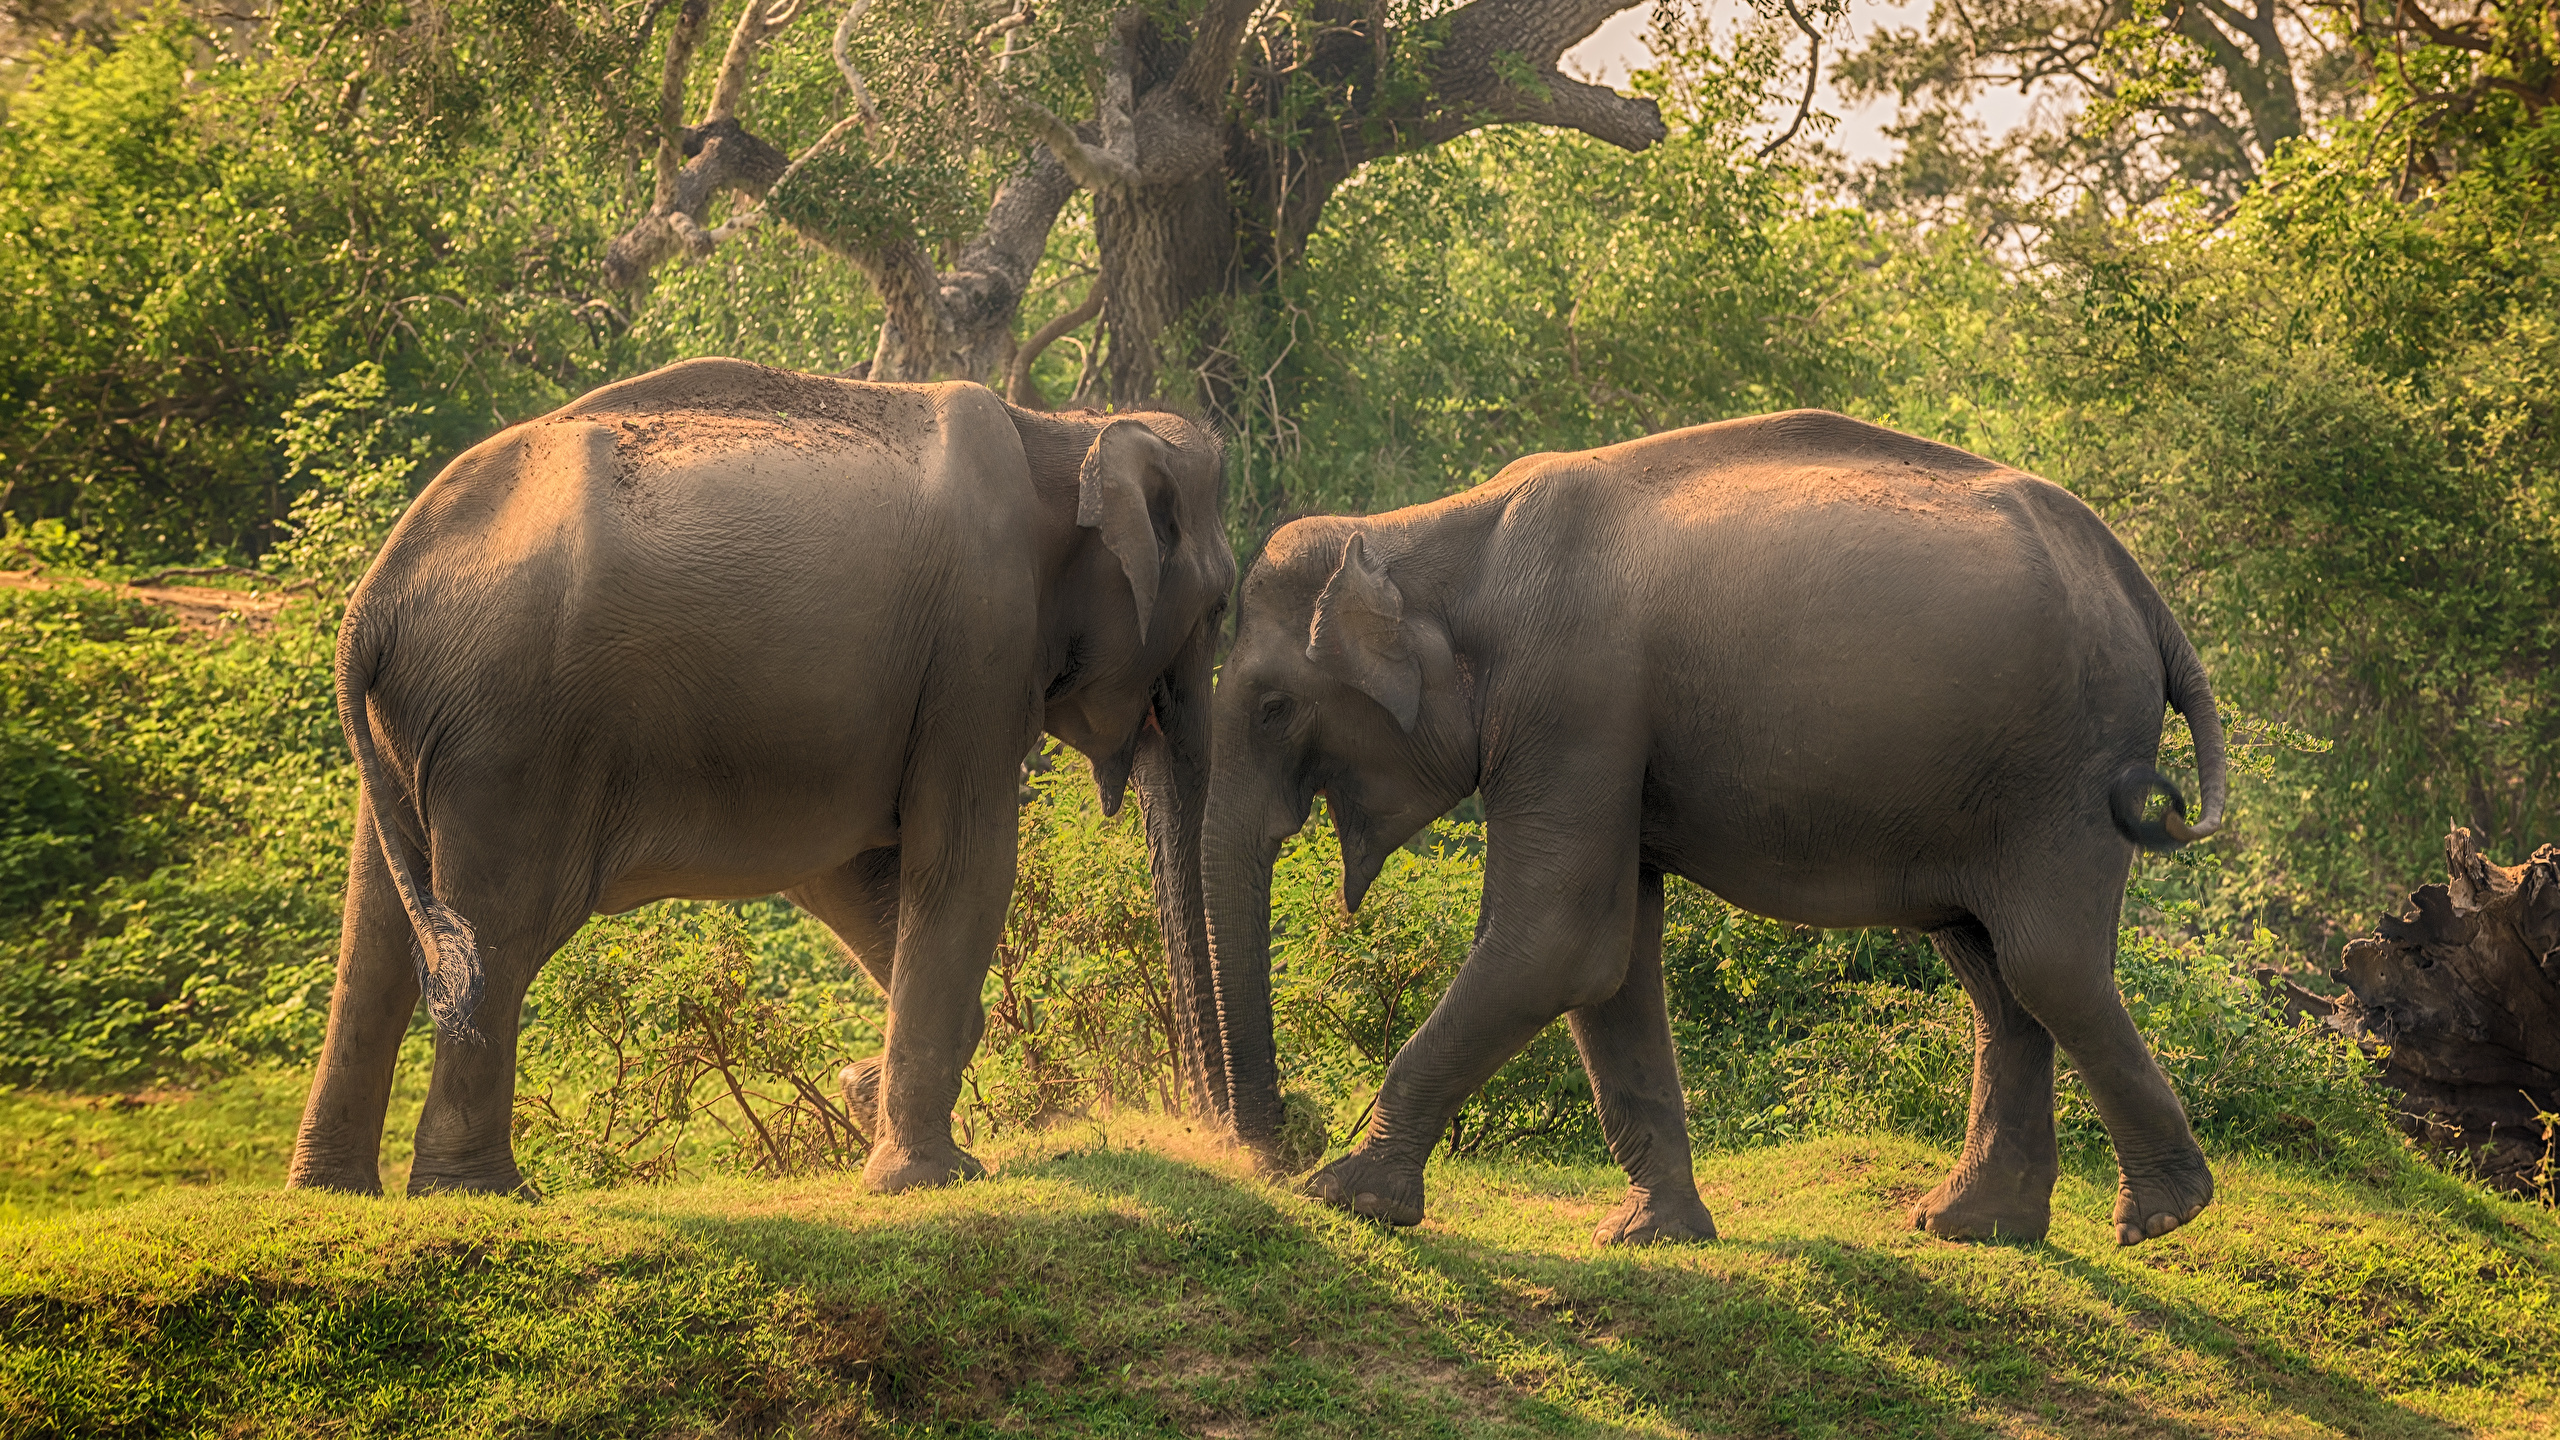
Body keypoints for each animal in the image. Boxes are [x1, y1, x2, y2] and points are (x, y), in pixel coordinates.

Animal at [288, 356, 1239, 1188]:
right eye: (1224, 604)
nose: (1229, 1141)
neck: (1062, 431)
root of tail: (373, 599)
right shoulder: (980, 640)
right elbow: (964, 861)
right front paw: (931, 1178)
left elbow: (850, 875)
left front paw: (869, 1098)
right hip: (510, 733)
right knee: (498, 930)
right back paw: (482, 1195)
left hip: (419, 734)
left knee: (378, 932)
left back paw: (336, 1191)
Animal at [1198, 409, 2222, 1240]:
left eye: (1273, 710)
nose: (1274, 1150)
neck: (1431, 531)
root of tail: (2143, 591)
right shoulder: (1601, 728)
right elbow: (1610, 956)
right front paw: (1653, 1233)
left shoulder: (1573, 695)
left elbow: (1557, 938)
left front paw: (1346, 1195)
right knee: (1996, 971)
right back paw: (1973, 1226)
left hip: (2070, 766)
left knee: (2046, 962)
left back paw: (2160, 1217)